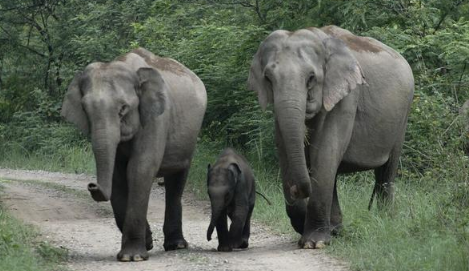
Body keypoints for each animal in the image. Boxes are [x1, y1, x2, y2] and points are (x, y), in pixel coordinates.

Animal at [60, 47, 207, 262]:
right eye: (86, 110)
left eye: (123, 108)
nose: (92, 185)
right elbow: (118, 176)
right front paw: (146, 244)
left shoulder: (156, 118)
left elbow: (139, 169)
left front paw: (134, 257)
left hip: (188, 138)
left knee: (177, 180)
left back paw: (176, 246)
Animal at [247, 26, 412, 250]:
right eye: (268, 79)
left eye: (311, 78)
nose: (296, 189)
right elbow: (284, 150)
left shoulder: (347, 97)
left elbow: (326, 152)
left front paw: (314, 243)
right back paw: (337, 230)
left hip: (402, 118)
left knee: (386, 171)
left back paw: (384, 220)